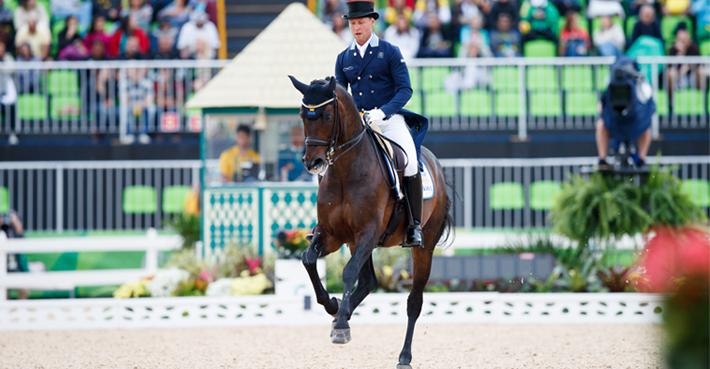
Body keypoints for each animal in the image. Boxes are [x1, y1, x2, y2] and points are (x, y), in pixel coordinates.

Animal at [288, 75, 450, 368]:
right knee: (368, 281)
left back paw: (404, 355)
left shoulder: (368, 233)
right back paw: (341, 313)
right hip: (355, 243)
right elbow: (308, 260)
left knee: (414, 300)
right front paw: (333, 306)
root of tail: (434, 163)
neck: (345, 171)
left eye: (327, 115)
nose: (312, 162)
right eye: (303, 115)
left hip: (423, 247)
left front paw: (341, 325)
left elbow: (348, 272)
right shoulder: (332, 235)